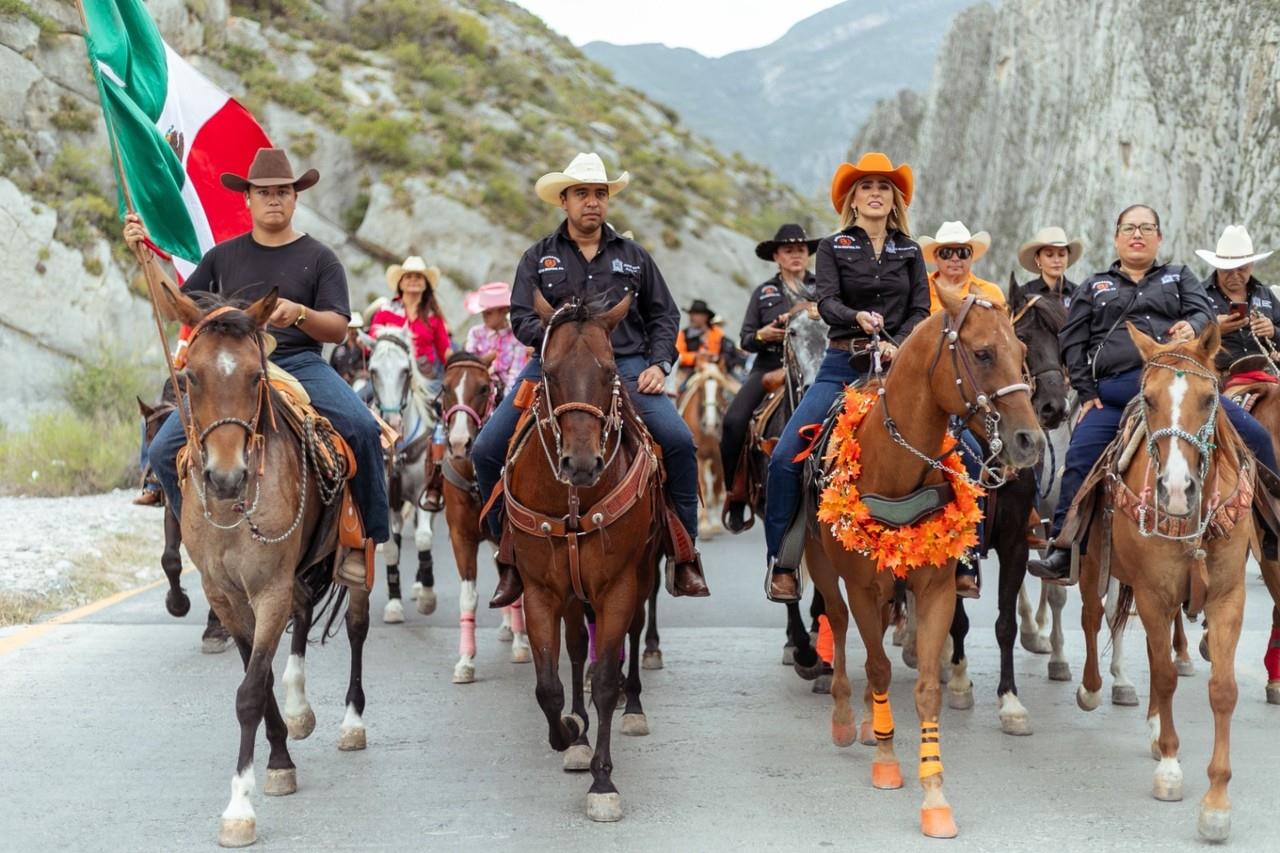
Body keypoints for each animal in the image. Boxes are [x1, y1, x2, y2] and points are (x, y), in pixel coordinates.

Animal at [158, 285, 371, 845]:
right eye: (190, 377)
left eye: (255, 376)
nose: (226, 477)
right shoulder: (226, 595)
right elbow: (259, 675)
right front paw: (279, 757)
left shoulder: (269, 588)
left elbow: (250, 691)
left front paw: (239, 807)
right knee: (303, 616)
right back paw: (299, 713)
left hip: (362, 557)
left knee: (356, 627)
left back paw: (351, 723)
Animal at [435, 348, 529, 681]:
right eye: (445, 388)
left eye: (484, 388)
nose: (459, 443)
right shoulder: (461, 536)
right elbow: (469, 596)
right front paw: (465, 661)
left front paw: (521, 645)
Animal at [501, 290, 660, 819]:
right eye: (548, 371)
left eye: (610, 370)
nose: (583, 463)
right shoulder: (541, 591)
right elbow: (547, 684)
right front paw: (569, 734)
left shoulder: (618, 587)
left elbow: (608, 680)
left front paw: (603, 782)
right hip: (572, 595)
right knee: (573, 648)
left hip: (643, 578)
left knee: (633, 637)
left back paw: (635, 708)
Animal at [803, 284, 1044, 835]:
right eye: (983, 353)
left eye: (1022, 352)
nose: (1030, 442)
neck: (893, 466)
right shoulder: (862, 587)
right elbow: (877, 669)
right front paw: (887, 763)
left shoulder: (936, 588)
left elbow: (929, 687)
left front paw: (934, 796)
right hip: (823, 567)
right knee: (840, 627)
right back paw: (847, 718)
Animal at [1075, 322, 1254, 840]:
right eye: (1149, 399)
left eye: (1209, 397)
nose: (1176, 490)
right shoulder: (1153, 594)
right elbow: (1167, 675)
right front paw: (1171, 768)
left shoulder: (1228, 598)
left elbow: (1222, 689)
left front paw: (1216, 803)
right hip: (1092, 563)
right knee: (1092, 618)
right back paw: (1093, 689)